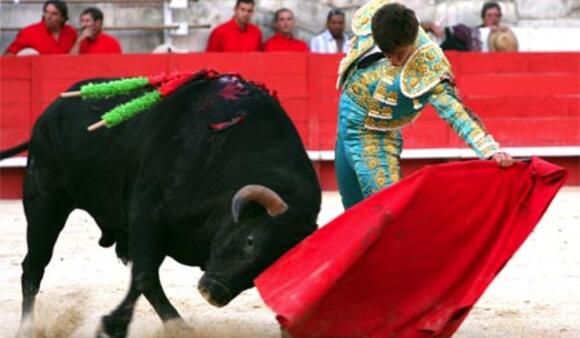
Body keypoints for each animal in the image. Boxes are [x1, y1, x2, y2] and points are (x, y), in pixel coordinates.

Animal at [13, 72, 322, 336]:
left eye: (269, 268)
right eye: (250, 241)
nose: (213, 293)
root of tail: (52, 109)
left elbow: (144, 278)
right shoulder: (147, 216)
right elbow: (144, 275)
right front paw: (115, 327)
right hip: (44, 203)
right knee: (33, 267)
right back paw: (27, 328)